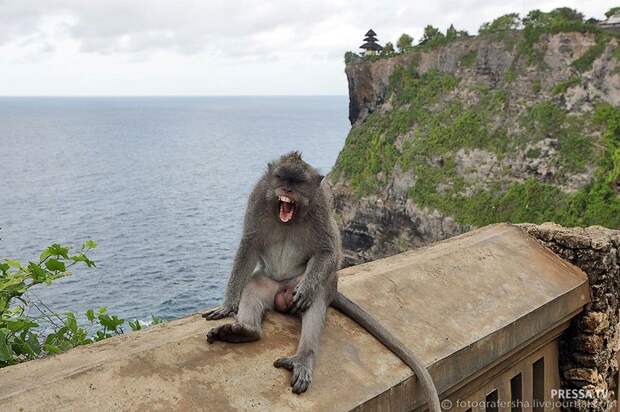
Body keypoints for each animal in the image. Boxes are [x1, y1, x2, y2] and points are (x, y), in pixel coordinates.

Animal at [203, 152, 440, 412]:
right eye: (282, 177)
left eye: (297, 182)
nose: (287, 188)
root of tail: (282, 289)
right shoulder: (258, 199)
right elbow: (249, 246)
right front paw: (228, 306)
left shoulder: (321, 207)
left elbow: (328, 251)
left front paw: (307, 290)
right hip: (271, 283)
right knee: (255, 286)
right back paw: (246, 331)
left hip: (315, 284)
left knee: (314, 300)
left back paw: (303, 356)